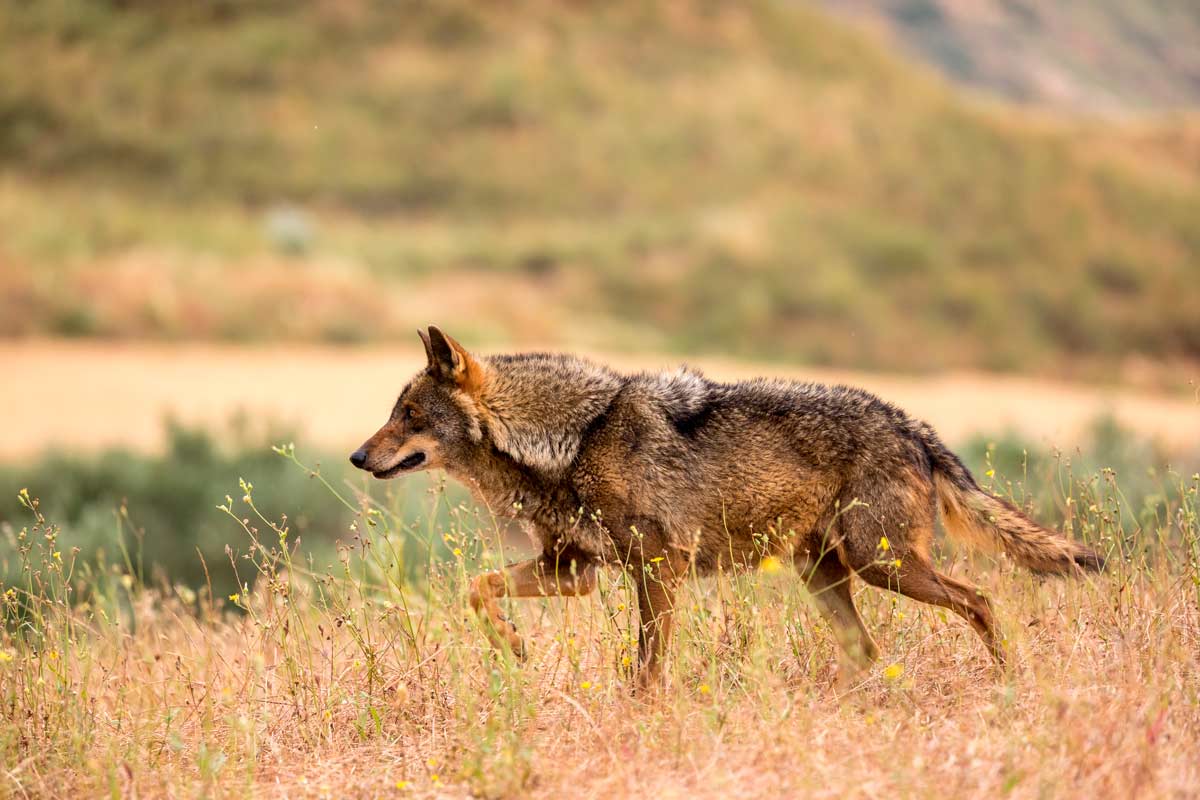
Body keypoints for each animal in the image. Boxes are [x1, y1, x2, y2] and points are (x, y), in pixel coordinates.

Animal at [350, 327, 1104, 687]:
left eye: (409, 416)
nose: (358, 457)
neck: (576, 436)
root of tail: (912, 425)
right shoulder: (575, 571)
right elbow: (476, 589)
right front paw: (513, 647)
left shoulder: (659, 569)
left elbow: (649, 666)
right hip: (827, 576)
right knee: (870, 649)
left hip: (882, 566)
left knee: (980, 600)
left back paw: (1008, 679)